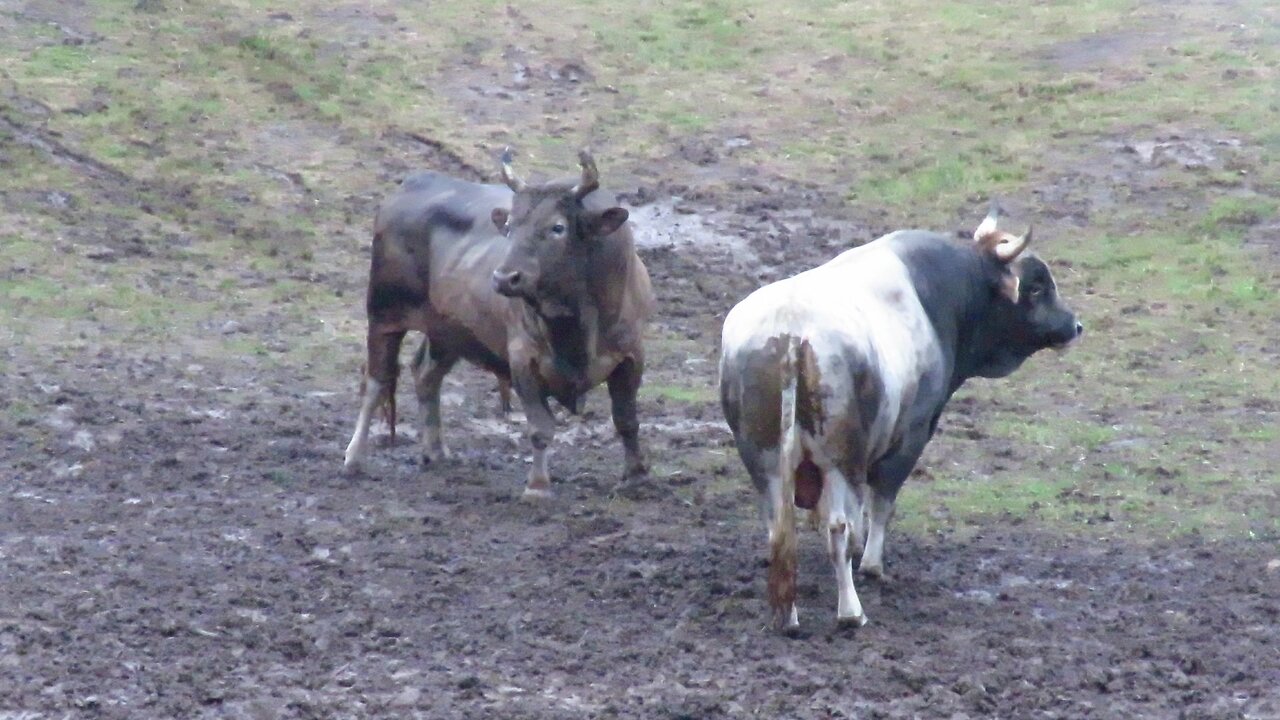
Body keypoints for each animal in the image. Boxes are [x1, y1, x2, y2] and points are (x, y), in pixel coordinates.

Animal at [345, 148, 655, 497]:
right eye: (509, 226)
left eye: (557, 227)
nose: (505, 277)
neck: (577, 319)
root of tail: (413, 183)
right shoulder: (522, 356)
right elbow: (540, 426)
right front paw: (537, 486)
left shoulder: (632, 353)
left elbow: (626, 419)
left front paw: (637, 475)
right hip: (384, 313)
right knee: (376, 383)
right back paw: (354, 458)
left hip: (447, 330)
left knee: (426, 374)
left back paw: (436, 451)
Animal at [721, 204, 1080, 625]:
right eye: (1036, 287)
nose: (1074, 325)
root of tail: (792, 333)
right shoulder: (910, 436)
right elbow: (881, 504)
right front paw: (872, 564)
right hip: (841, 460)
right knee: (837, 528)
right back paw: (851, 612)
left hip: (765, 460)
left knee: (780, 530)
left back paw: (789, 617)